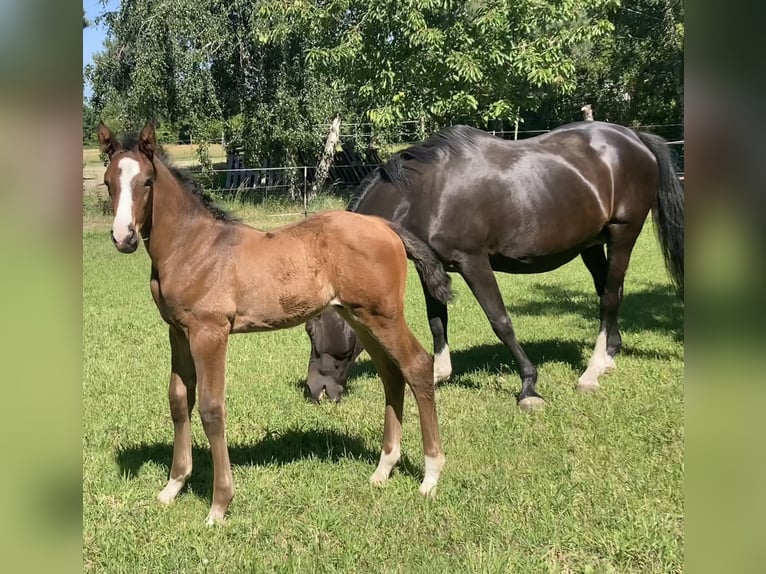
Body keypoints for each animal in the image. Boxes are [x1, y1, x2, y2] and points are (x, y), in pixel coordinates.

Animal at [99, 122, 452, 528]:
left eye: (147, 181)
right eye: (108, 182)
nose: (123, 237)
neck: (193, 248)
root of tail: (385, 226)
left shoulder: (210, 332)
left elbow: (211, 408)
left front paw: (219, 505)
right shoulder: (178, 331)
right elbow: (178, 400)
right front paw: (172, 487)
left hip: (385, 315)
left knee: (417, 366)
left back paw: (430, 476)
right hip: (360, 317)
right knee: (392, 375)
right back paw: (383, 469)